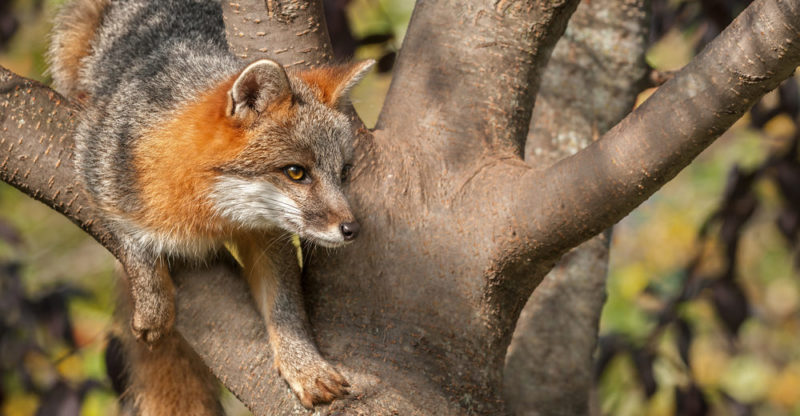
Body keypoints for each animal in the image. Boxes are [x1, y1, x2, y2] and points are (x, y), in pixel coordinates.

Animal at [48, 0, 374, 412]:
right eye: (296, 172)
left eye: (343, 172)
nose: (352, 229)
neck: (210, 214)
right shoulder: (93, 163)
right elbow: (132, 243)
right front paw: (154, 308)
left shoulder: (267, 237)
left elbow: (286, 309)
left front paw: (303, 366)